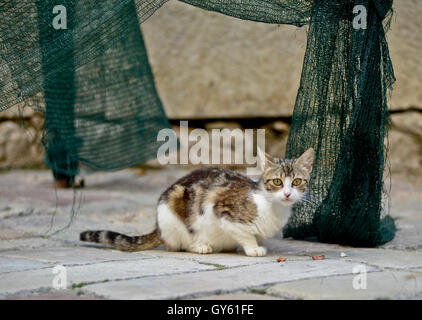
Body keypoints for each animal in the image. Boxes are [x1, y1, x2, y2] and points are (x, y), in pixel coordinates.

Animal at [80, 148, 314, 258]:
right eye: (277, 182)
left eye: (296, 181)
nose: (287, 194)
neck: (272, 206)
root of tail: (158, 228)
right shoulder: (223, 209)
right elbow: (245, 234)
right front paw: (253, 248)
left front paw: (257, 243)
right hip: (173, 207)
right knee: (179, 244)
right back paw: (201, 245)